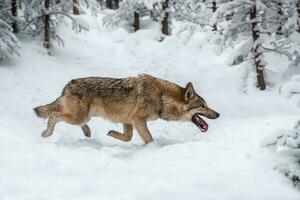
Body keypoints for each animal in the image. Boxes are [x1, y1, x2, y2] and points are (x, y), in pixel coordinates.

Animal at [34, 74, 219, 144]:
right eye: (203, 105)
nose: (218, 114)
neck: (161, 97)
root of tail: (68, 85)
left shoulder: (128, 120)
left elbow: (127, 137)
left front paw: (111, 134)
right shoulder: (138, 120)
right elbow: (149, 139)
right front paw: (153, 150)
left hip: (83, 117)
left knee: (72, 121)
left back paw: (87, 132)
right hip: (79, 117)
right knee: (53, 115)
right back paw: (46, 133)